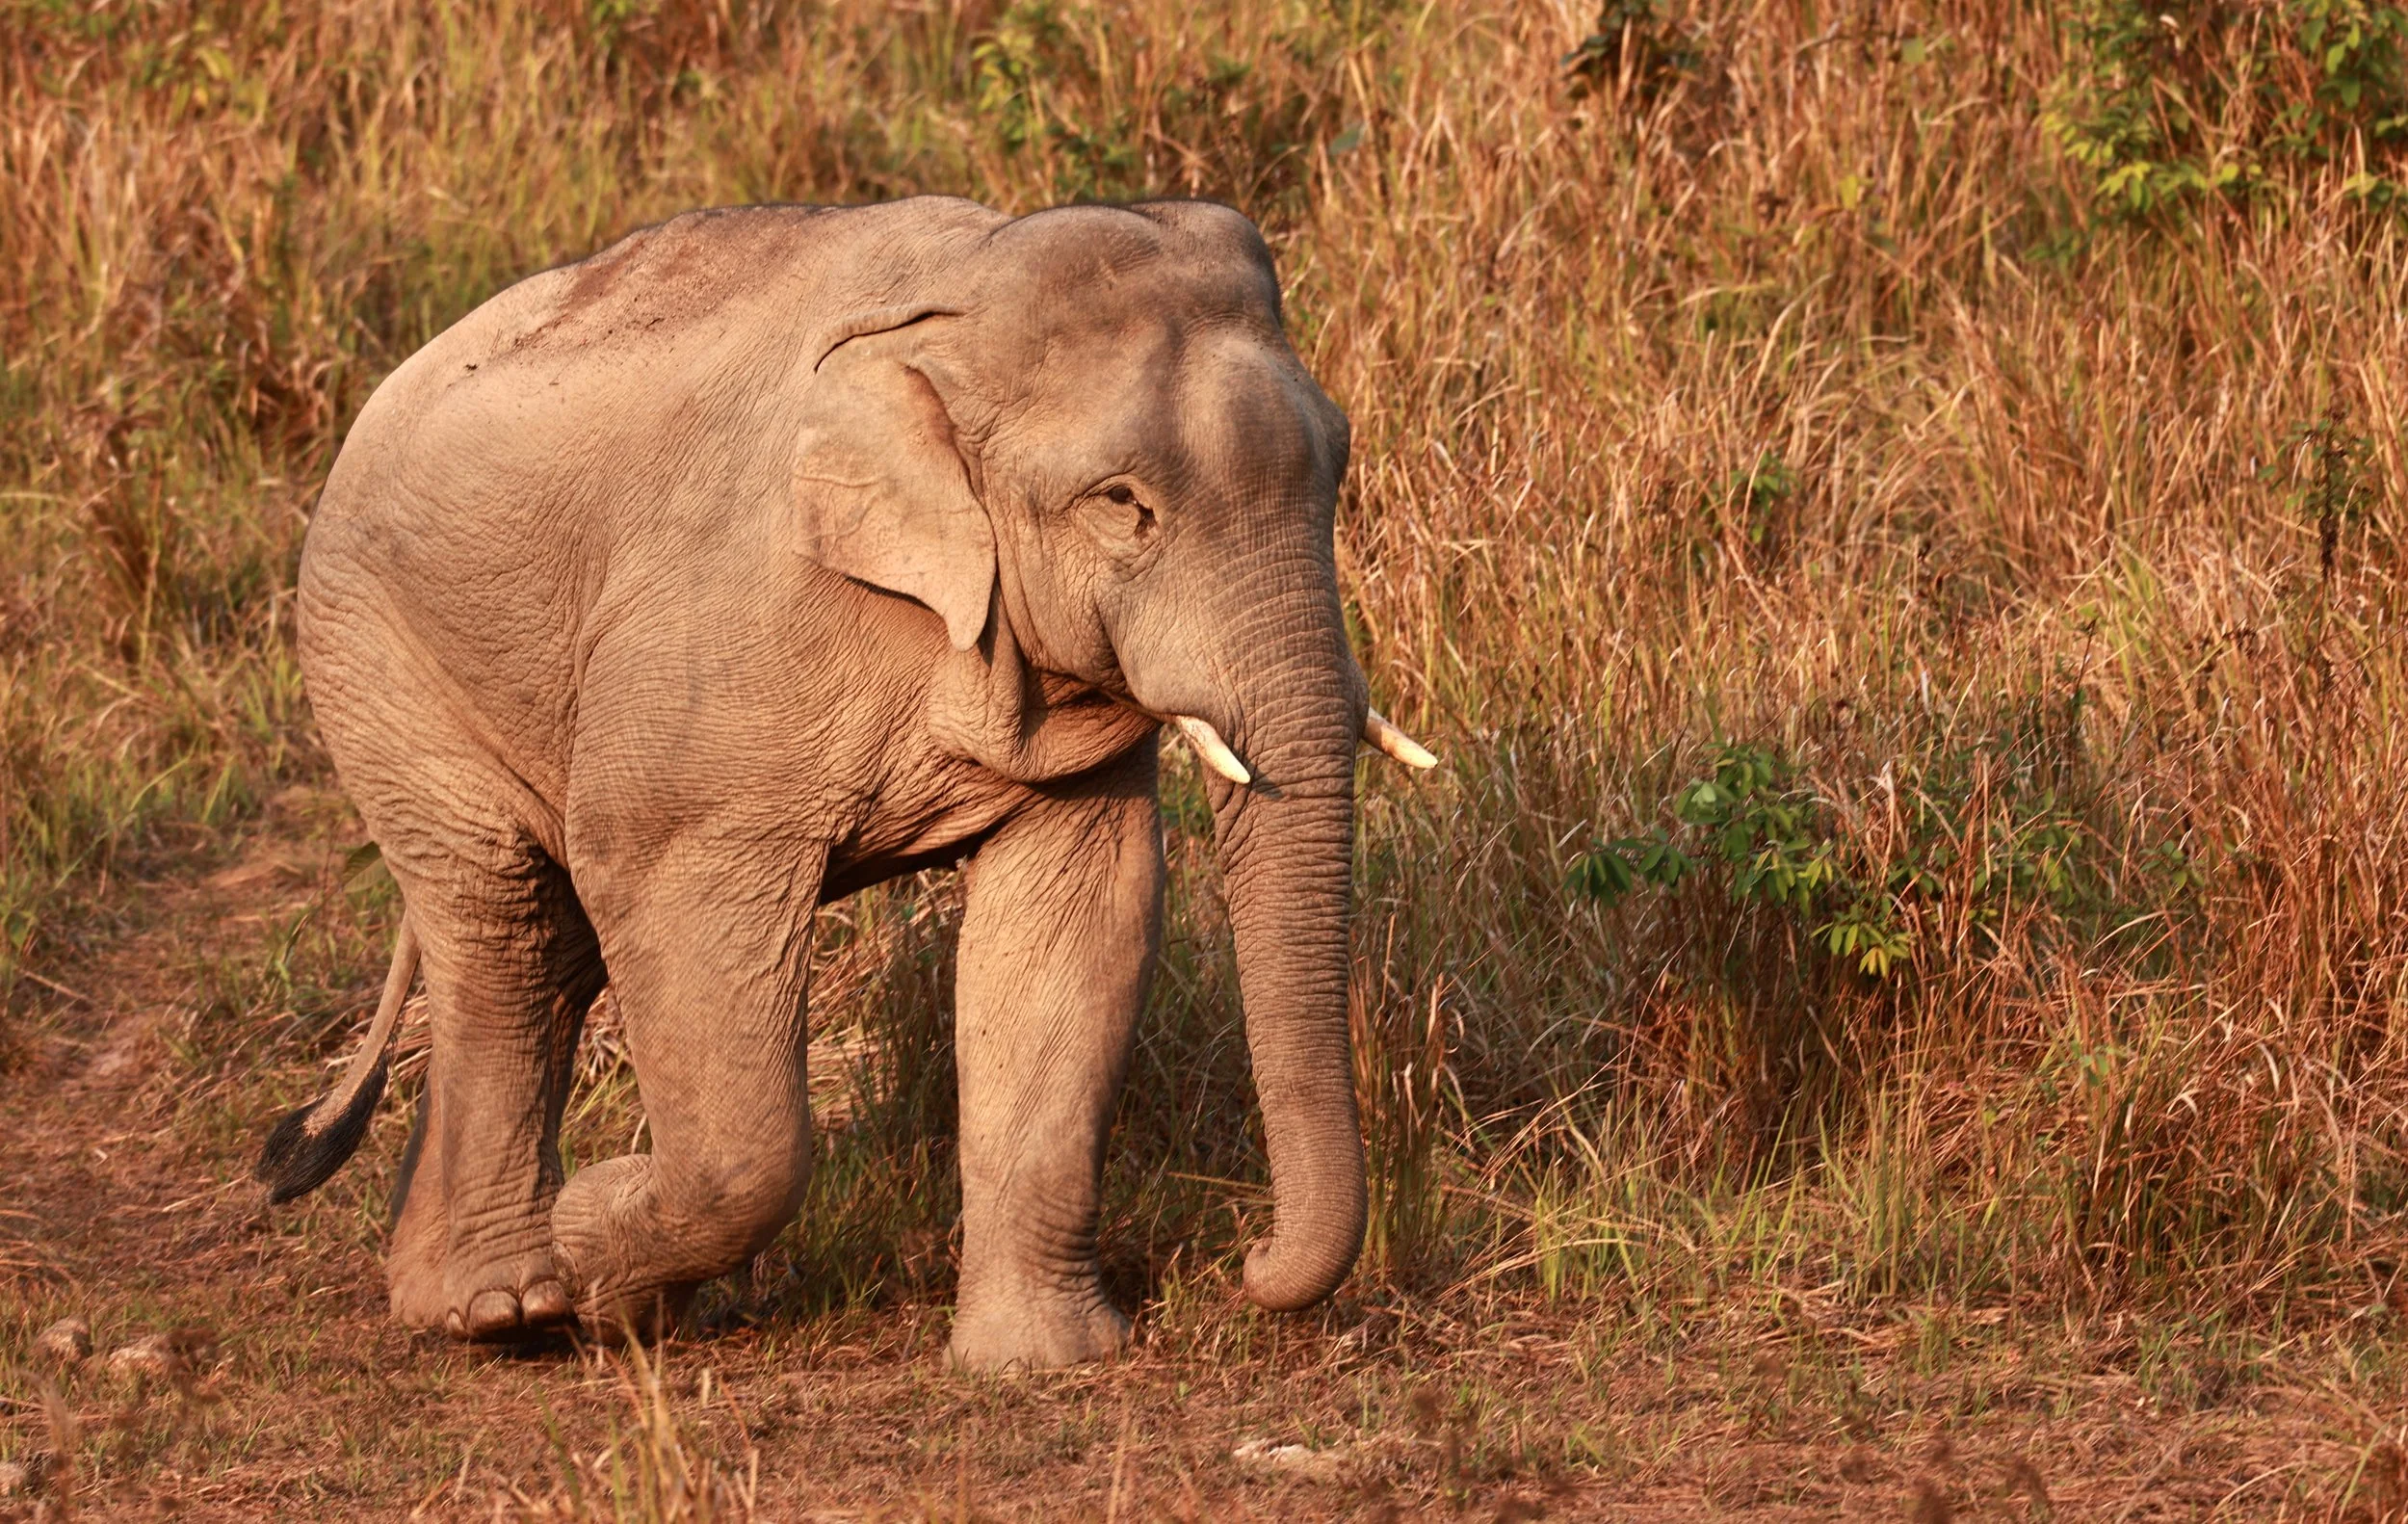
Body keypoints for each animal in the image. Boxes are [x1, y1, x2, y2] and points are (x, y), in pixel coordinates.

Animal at [253, 194, 1435, 1372]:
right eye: (1121, 503)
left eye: (1337, 468)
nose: (1247, 1266)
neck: (955, 299)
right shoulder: (714, 658)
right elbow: (673, 904)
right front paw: (593, 1237)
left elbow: (1074, 918)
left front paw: (1036, 1363)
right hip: (377, 658)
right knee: (507, 922)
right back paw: (507, 1303)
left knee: (549, 952)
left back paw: (468, 1294)